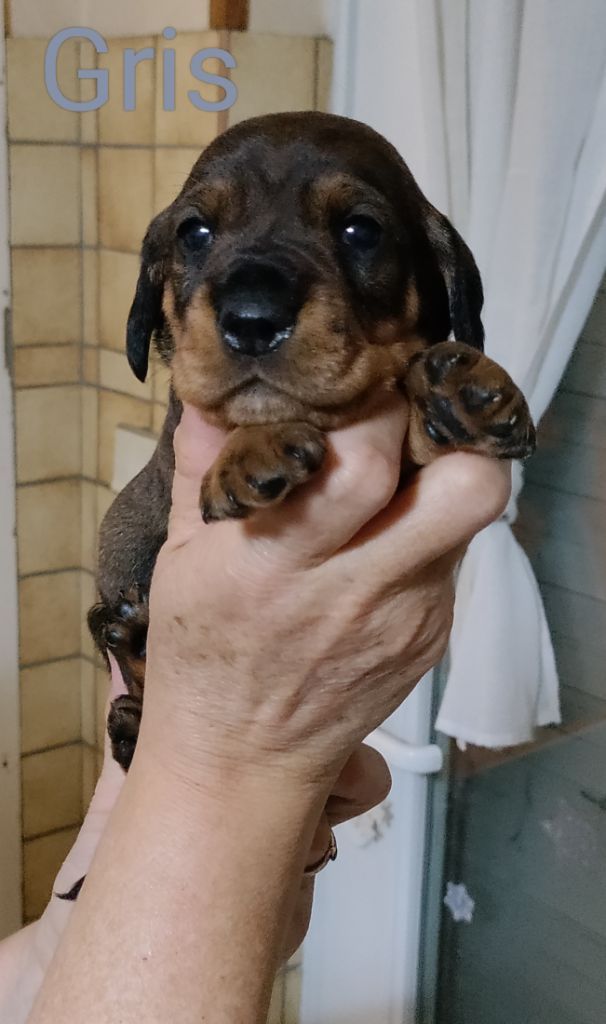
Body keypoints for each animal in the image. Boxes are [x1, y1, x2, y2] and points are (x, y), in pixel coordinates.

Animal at [88, 111, 535, 775]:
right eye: (194, 232)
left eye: (361, 229)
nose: (251, 320)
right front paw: (256, 447)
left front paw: (463, 393)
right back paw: (133, 661)